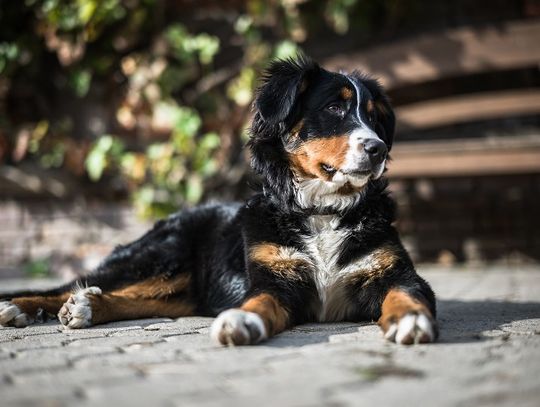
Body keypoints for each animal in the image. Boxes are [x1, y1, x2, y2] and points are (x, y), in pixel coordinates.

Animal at [0, 55, 438, 346]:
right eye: (334, 106)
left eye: (374, 116)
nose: (377, 149)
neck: (323, 210)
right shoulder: (275, 280)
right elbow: (258, 302)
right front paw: (241, 321)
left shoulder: (396, 273)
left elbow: (406, 293)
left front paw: (411, 321)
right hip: (161, 255)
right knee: (77, 284)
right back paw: (21, 306)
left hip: (179, 288)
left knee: (134, 299)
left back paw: (87, 307)